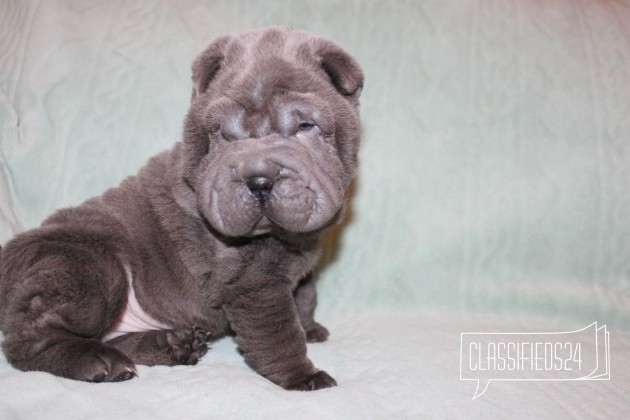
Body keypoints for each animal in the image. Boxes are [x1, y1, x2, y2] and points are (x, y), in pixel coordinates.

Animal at [0, 27, 366, 390]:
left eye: (304, 127)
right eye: (224, 135)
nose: (259, 178)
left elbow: (306, 294)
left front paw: (311, 328)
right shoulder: (255, 285)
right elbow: (279, 334)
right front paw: (304, 377)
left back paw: (173, 345)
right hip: (92, 267)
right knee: (28, 339)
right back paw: (100, 362)